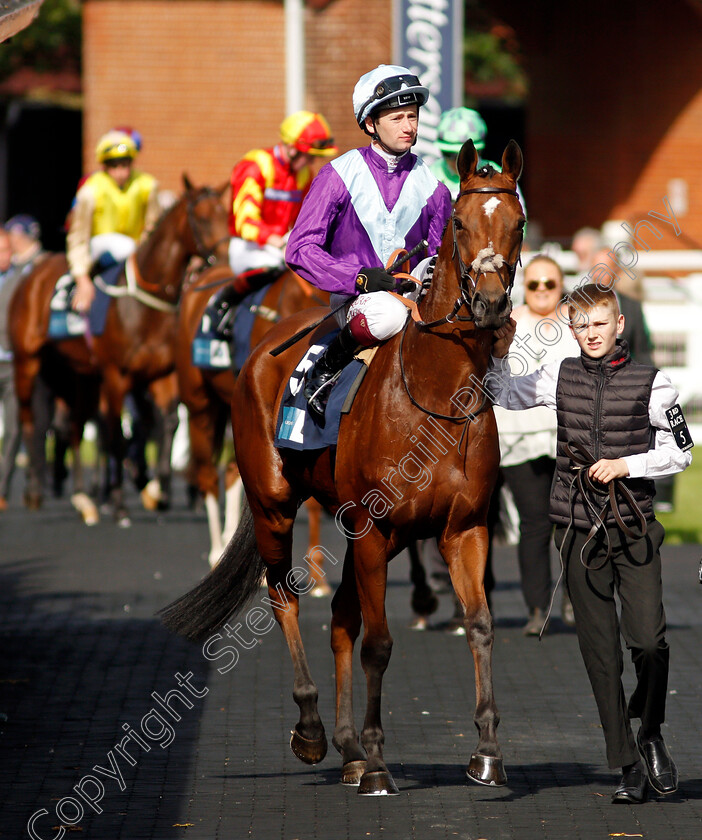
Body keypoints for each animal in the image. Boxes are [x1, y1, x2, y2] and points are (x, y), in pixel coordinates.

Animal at [9, 177, 230, 524]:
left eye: (226, 214)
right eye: (203, 218)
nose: (225, 261)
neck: (143, 306)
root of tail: (33, 273)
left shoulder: (160, 374)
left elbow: (167, 422)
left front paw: (158, 492)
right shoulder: (115, 375)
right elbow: (115, 432)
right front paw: (119, 503)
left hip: (77, 374)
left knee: (73, 426)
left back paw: (83, 498)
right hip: (27, 362)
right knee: (31, 420)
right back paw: (35, 491)